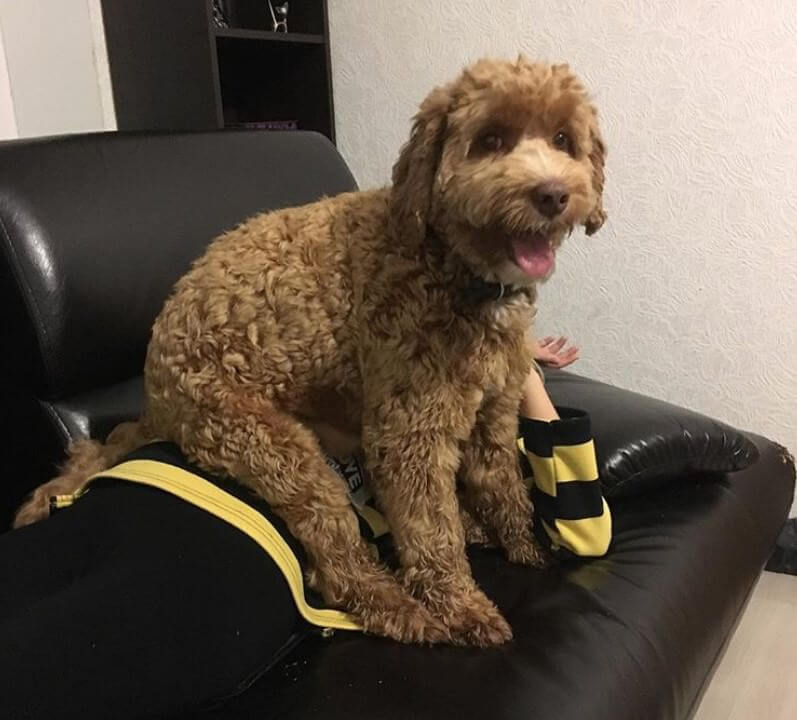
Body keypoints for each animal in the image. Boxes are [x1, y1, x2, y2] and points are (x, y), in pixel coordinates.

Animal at [15, 57, 608, 648]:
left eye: (563, 139)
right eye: (490, 140)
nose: (553, 194)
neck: (451, 265)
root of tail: (154, 397)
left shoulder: (495, 412)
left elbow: (503, 485)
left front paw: (525, 546)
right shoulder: (410, 432)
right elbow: (430, 531)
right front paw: (462, 606)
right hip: (268, 443)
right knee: (337, 563)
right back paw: (404, 610)